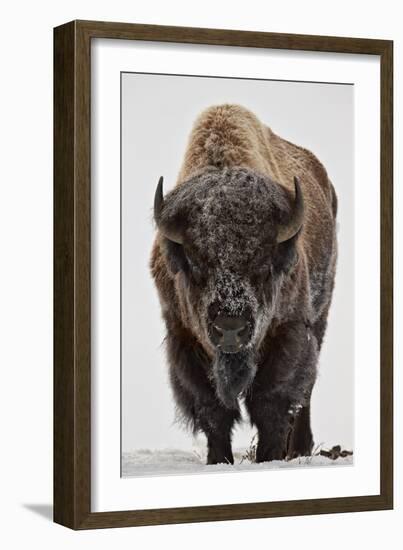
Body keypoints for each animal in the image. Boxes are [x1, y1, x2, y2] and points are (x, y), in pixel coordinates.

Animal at [149, 103, 338, 466]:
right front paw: (218, 461)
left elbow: (272, 401)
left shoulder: (288, 331)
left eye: (263, 264)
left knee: (305, 392)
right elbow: (212, 409)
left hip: (320, 318)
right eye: (195, 262)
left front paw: (268, 457)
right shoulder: (183, 337)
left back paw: (300, 449)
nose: (230, 328)